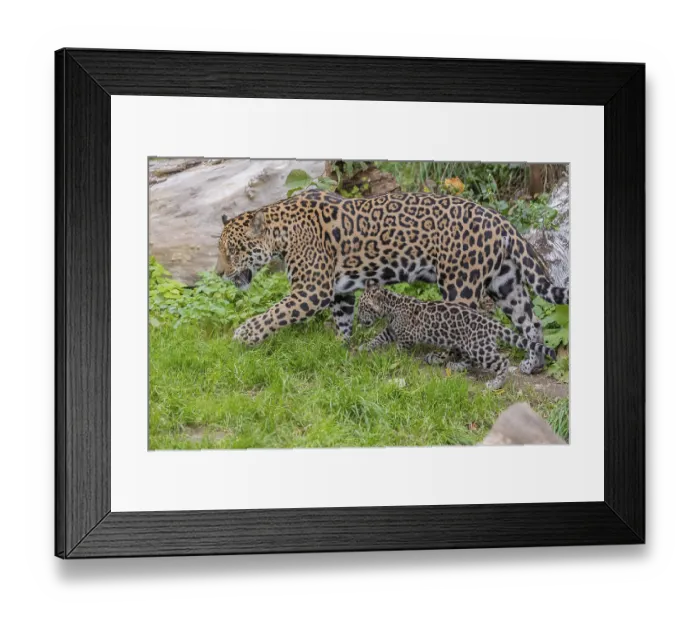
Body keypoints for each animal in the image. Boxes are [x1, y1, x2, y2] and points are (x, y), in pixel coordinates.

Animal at [215, 189, 568, 374]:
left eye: (232, 250)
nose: (218, 273)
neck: (281, 232)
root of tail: (500, 220)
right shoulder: (339, 291)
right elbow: (342, 320)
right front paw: (340, 347)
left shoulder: (311, 291)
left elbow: (273, 315)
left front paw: (243, 335)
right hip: (505, 282)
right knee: (532, 322)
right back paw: (533, 362)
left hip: (460, 284)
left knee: (468, 322)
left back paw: (448, 362)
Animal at [356, 283, 557, 390]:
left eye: (363, 307)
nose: (358, 319)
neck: (392, 306)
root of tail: (491, 323)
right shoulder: (391, 330)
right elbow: (378, 338)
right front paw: (364, 347)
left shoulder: (406, 336)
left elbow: (399, 349)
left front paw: (391, 357)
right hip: (468, 345)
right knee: (470, 362)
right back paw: (456, 365)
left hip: (479, 348)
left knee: (502, 361)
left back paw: (495, 383)